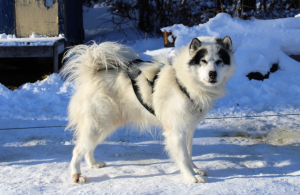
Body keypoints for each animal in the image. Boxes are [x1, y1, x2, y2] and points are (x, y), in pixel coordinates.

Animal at [60, 35, 237, 184]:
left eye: (219, 61)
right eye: (203, 61)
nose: (212, 74)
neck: (182, 82)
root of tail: (94, 72)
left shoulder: (189, 129)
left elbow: (189, 153)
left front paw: (195, 169)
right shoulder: (176, 131)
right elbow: (183, 157)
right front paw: (190, 176)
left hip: (104, 126)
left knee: (87, 147)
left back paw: (93, 164)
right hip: (99, 123)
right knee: (77, 150)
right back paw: (76, 175)